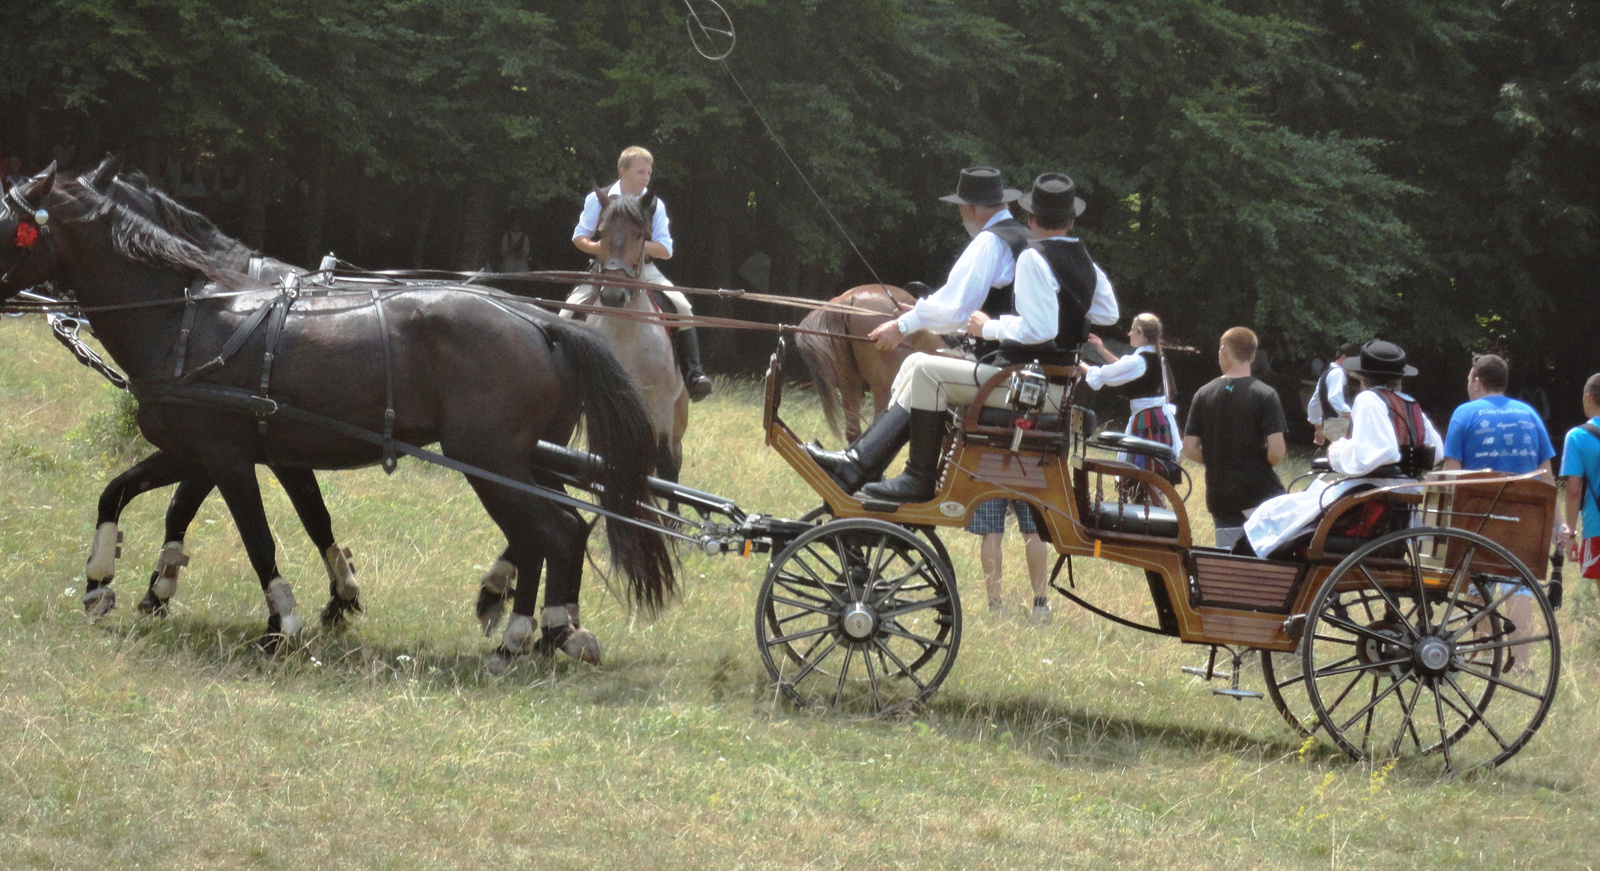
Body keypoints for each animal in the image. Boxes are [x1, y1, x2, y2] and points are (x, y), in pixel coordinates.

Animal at [0, 164, 672, 666]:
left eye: (10, 225)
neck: (187, 315)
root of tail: (542, 321)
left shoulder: (227, 455)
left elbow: (256, 537)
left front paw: (282, 622)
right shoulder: (211, 450)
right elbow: (122, 493)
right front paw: (101, 582)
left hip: (490, 460)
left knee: (550, 530)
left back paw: (526, 633)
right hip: (523, 461)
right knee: (555, 530)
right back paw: (542, 629)